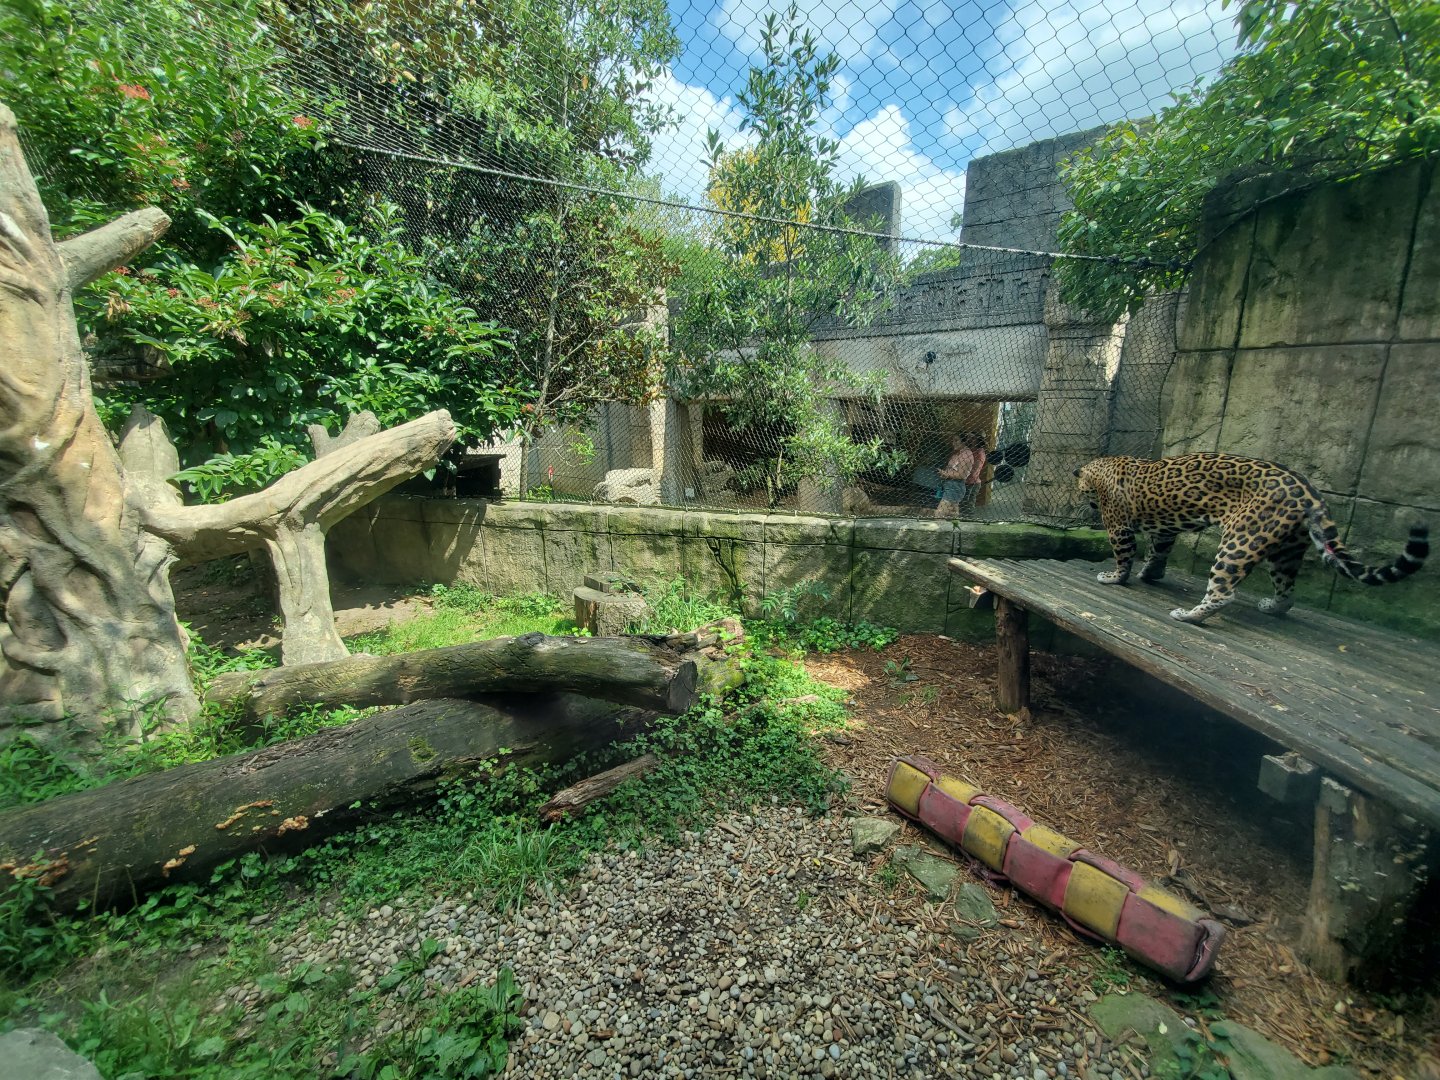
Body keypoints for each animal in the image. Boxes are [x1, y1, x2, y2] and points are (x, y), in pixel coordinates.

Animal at [1074, 452, 1429, 624]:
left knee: (1224, 592)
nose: (1082, 500)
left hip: (1240, 539)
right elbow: (1158, 551)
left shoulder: (1118, 527)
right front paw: (1150, 573)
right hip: (1287, 549)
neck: (1102, 467)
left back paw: (1189, 616)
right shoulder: (1164, 530)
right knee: (1287, 590)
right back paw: (1272, 607)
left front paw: (1115, 577)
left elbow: (1125, 555)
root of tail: (1310, 493)